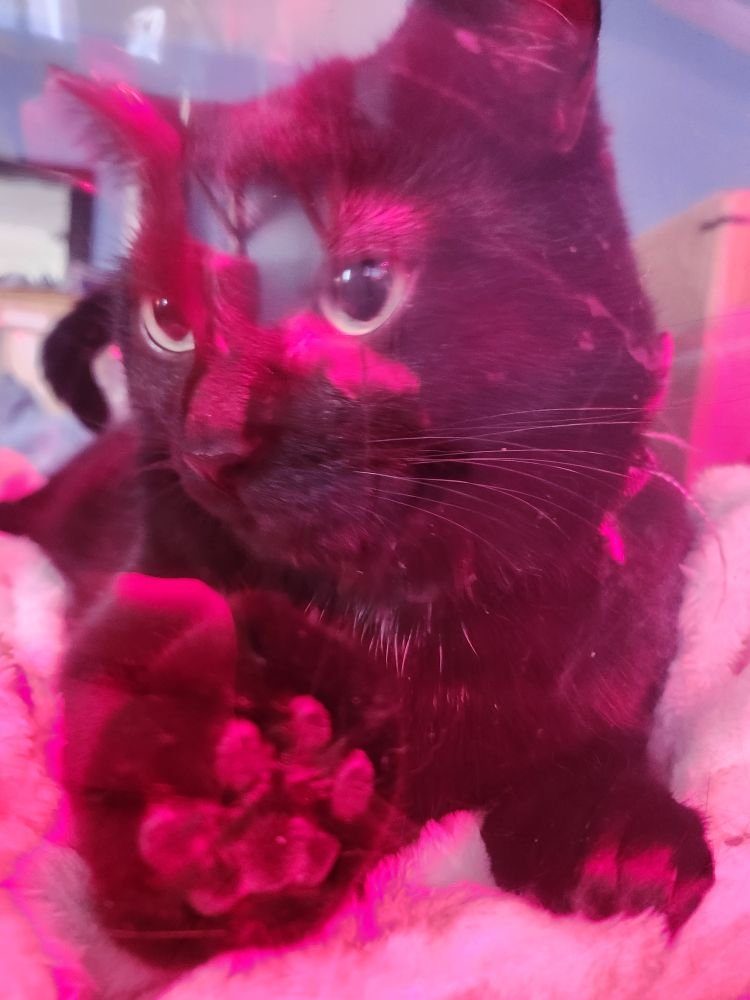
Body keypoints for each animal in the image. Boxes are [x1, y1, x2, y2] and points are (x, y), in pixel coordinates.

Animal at [1, 0, 713, 967]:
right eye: (167, 320)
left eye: (361, 289)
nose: (211, 440)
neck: (399, 604)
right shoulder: (141, 584)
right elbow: (129, 683)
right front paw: (222, 833)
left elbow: (599, 737)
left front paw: (620, 835)